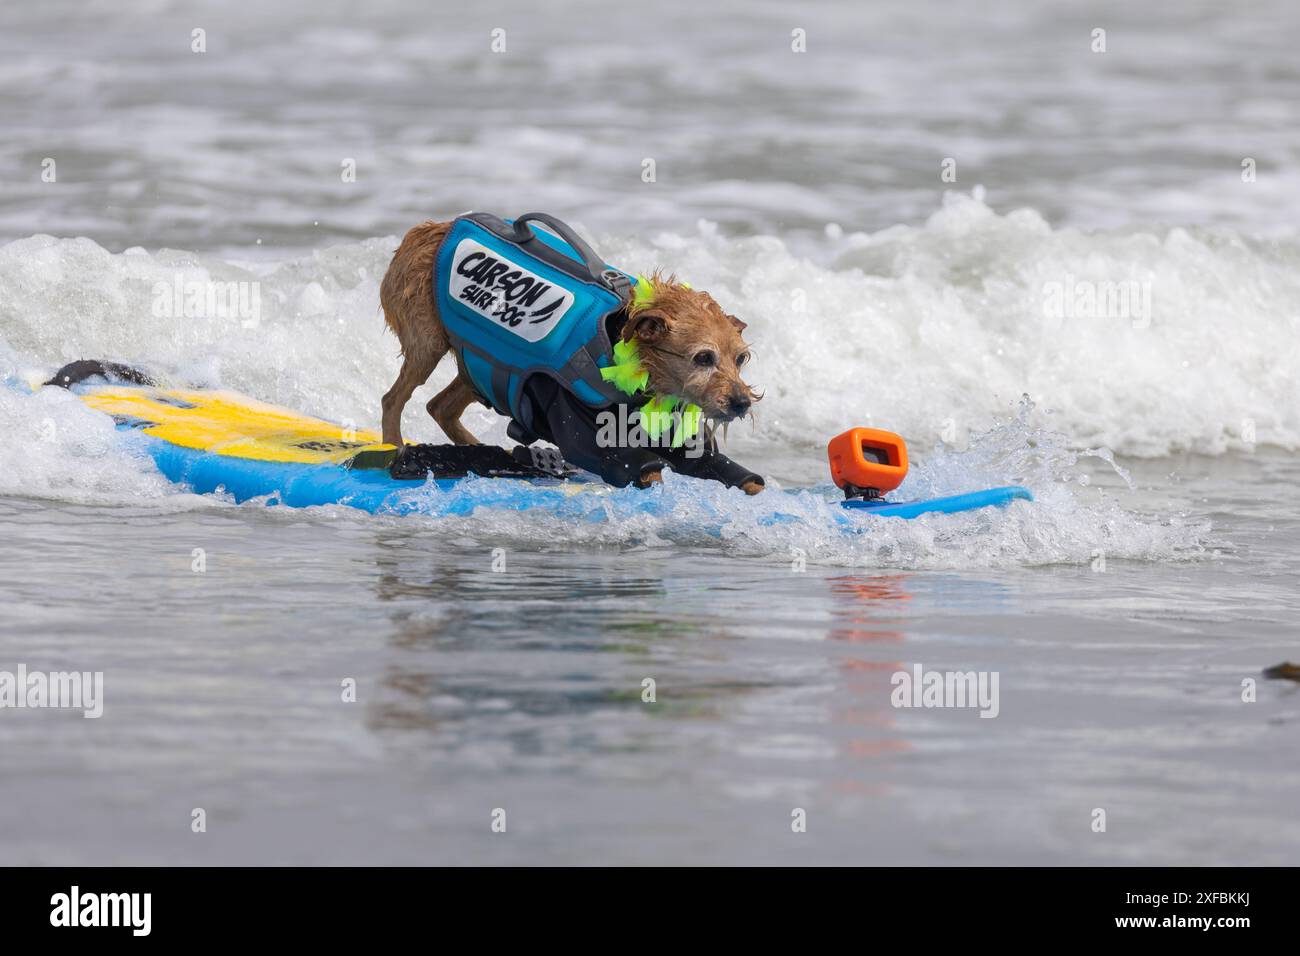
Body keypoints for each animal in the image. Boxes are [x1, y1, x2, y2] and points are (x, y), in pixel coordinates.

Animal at [377, 214, 759, 494]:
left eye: (741, 358)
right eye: (703, 357)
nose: (742, 402)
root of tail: (429, 230)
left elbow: (719, 466)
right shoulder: (579, 427)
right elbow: (630, 464)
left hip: (477, 366)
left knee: (440, 406)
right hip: (428, 344)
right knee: (394, 399)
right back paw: (396, 449)